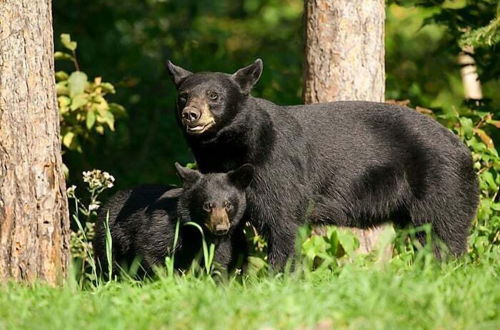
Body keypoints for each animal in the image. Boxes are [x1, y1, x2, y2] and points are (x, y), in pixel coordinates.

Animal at [93, 164, 252, 276]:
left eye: (228, 204)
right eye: (207, 206)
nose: (221, 229)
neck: (196, 231)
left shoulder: (220, 244)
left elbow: (217, 263)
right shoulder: (163, 226)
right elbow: (150, 251)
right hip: (109, 236)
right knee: (109, 263)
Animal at [167, 58, 480, 266]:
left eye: (214, 95)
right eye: (183, 96)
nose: (191, 114)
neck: (231, 147)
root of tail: (464, 150)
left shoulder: (275, 165)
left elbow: (283, 221)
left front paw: (279, 276)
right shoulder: (221, 179)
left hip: (441, 182)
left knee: (443, 231)